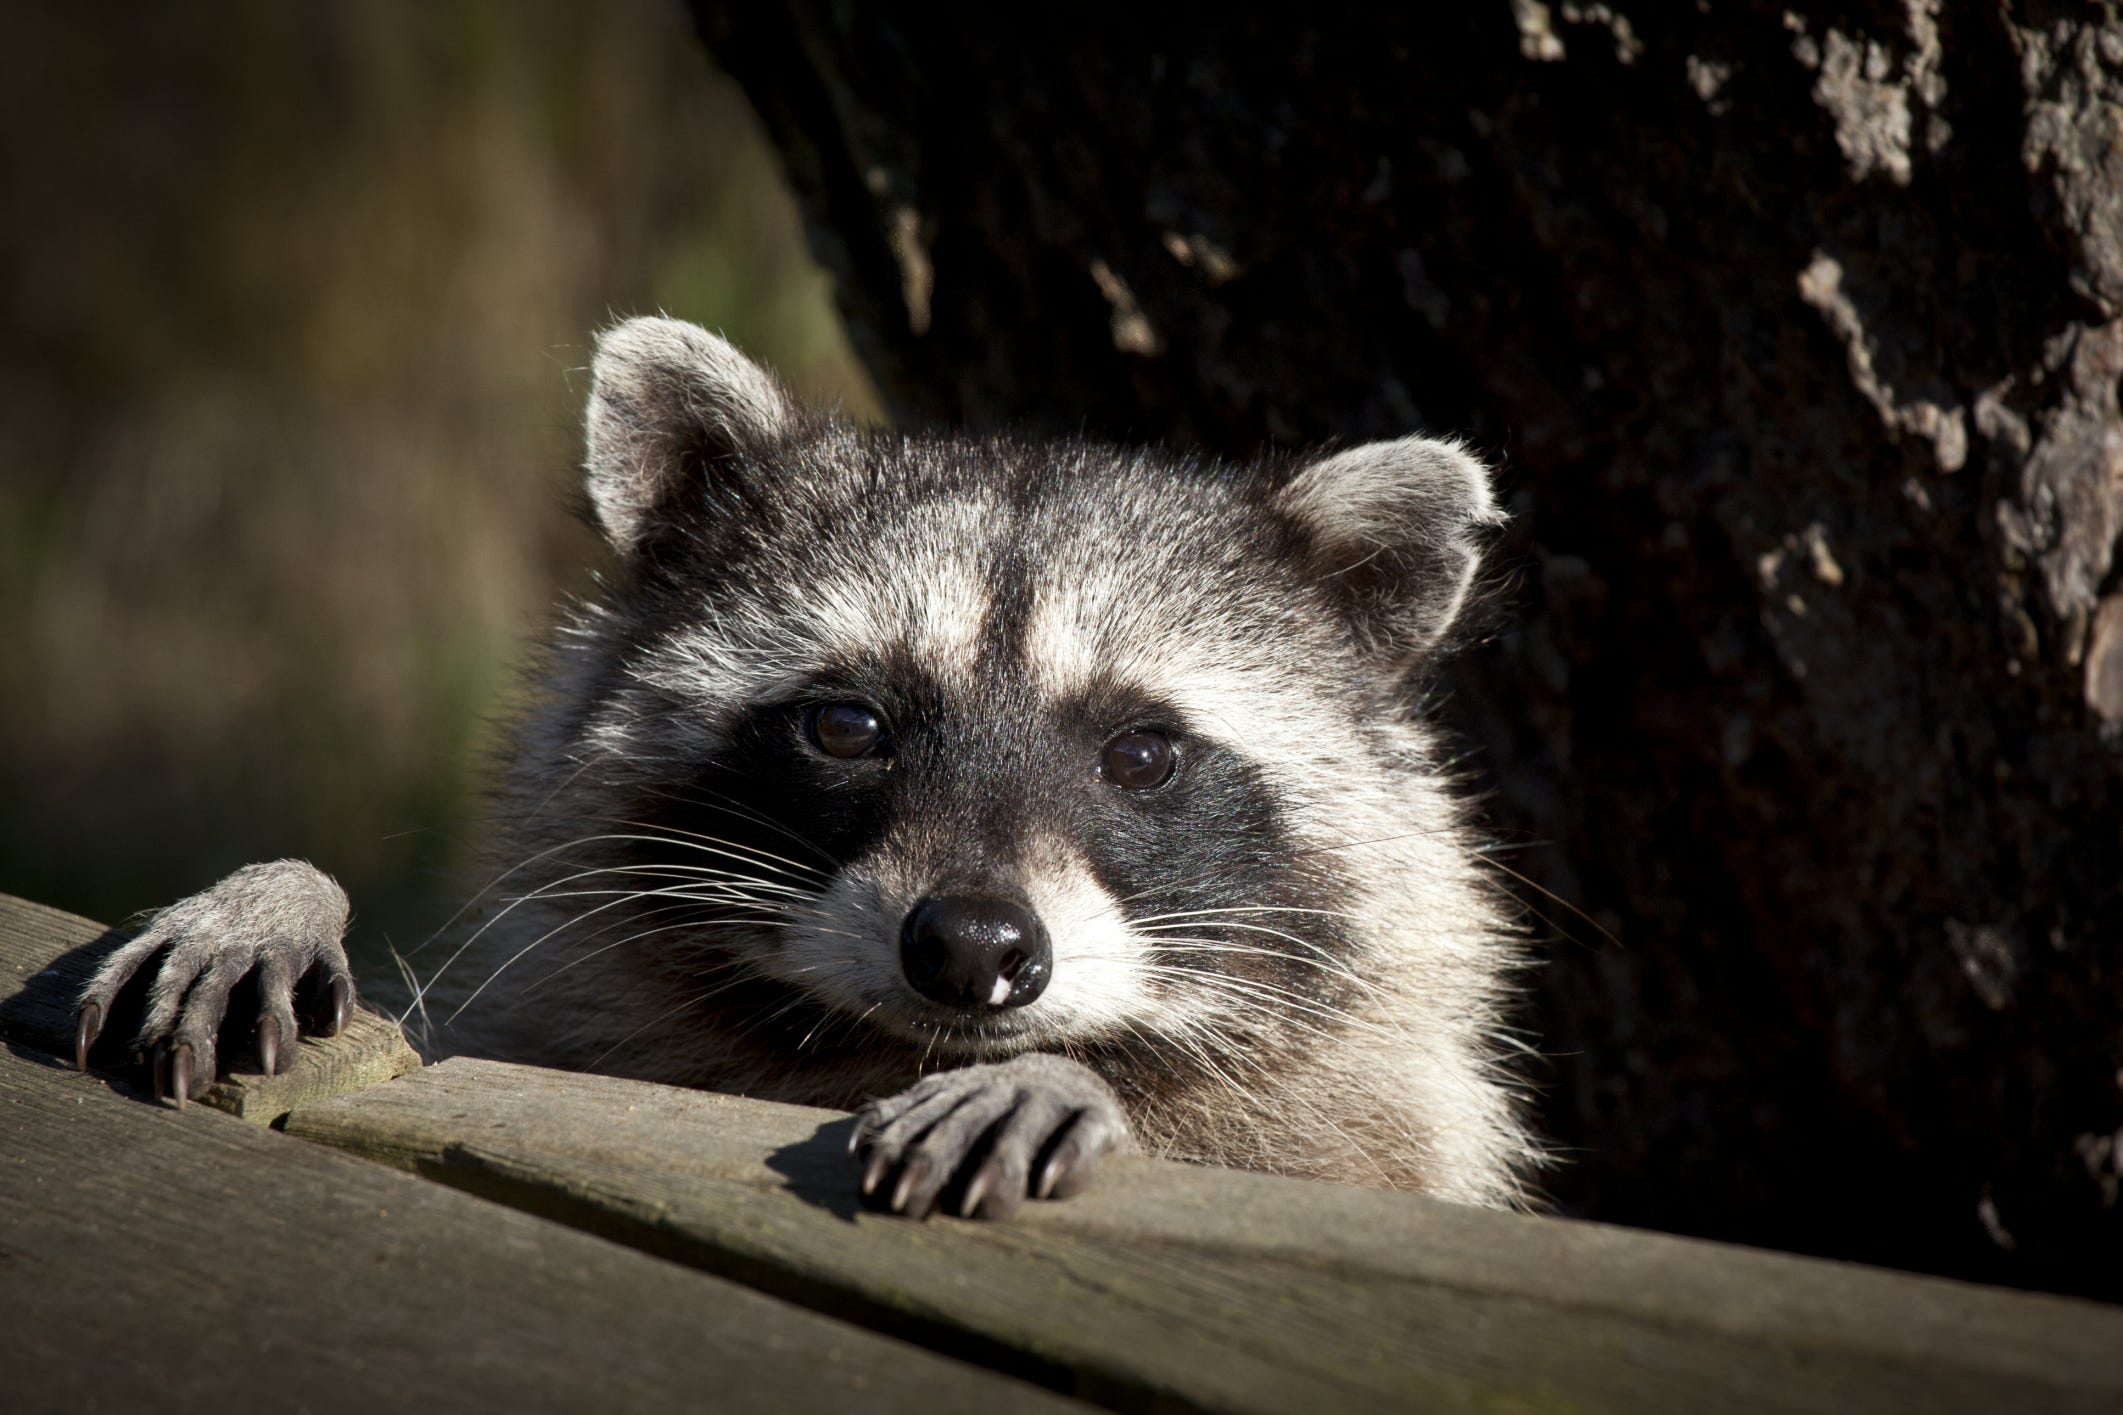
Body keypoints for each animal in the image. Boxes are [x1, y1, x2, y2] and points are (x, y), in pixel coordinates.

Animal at [76, 316, 1537, 1217]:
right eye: (847, 726)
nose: (971, 946)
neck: (867, 1050)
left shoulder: (1374, 1127)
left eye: (1139, 751)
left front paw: (1075, 1075)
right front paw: (284, 891)